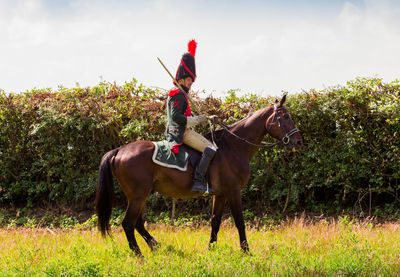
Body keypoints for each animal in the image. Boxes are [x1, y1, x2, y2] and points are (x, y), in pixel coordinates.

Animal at [96, 94, 304, 254]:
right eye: (285, 116)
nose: (299, 142)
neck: (234, 146)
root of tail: (120, 150)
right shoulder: (233, 191)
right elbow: (240, 221)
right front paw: (246, 252)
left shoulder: (220, 194)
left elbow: (215, 221)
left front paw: (211, 249)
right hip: (138, 195)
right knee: (128, 224)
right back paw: (139, 255)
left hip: (141, 195)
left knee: (137, 223)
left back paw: (155, 245)